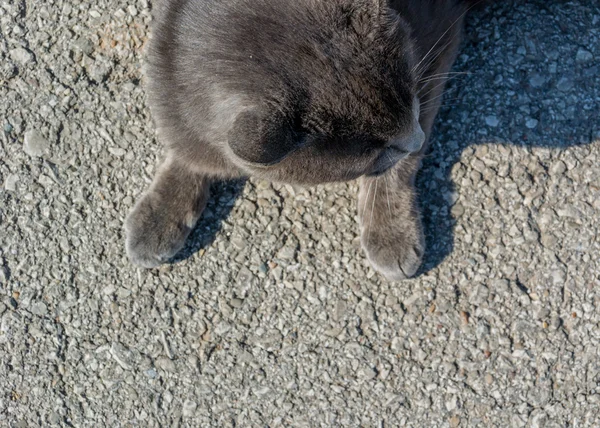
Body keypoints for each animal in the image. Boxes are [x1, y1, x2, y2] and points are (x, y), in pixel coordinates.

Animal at [125, 0, 478, 280]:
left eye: (410, 103)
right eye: (374, 149)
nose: (416, 140)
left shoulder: (439, 44)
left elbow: (398, 169)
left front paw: (391, 231)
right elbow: (189, 151)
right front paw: (158, 217)